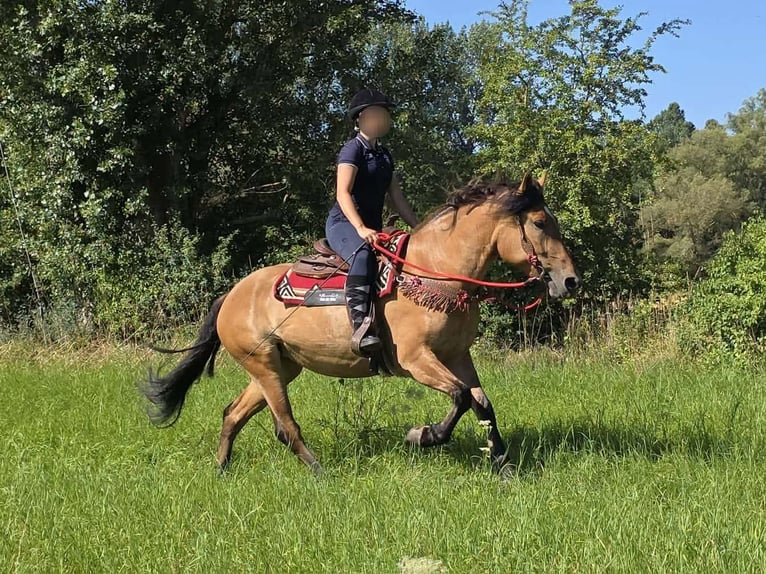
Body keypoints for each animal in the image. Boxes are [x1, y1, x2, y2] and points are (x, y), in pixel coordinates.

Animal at [142, 173, 580, 474]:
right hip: (265, 367)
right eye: (539, 224)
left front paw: (503, 464)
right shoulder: (415, 360)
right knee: (286, 425)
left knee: (233, 414)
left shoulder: (457, 355)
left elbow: (482, 404)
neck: (437, 272)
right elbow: (459, 398)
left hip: (279, 367)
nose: (570, 280)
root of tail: (230, 296)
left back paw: (221, 470)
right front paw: (423, 435)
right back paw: (319, 472)